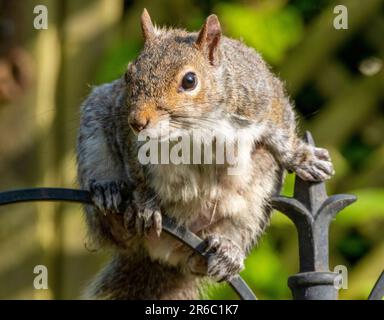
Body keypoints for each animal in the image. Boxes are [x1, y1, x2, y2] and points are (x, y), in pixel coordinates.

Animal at [76, 9, 334, 300]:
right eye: (128, 75)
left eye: (190, 80)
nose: (138, 122)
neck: (194, 127)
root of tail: (161, 254)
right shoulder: (125, 126)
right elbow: (137, 173)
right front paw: (145, 205)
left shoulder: (264, 100)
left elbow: (282, 132)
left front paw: (304, 158)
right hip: (95, 130)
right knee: (114, 229)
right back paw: (109, 192)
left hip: (256, 197)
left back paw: (227, 251)